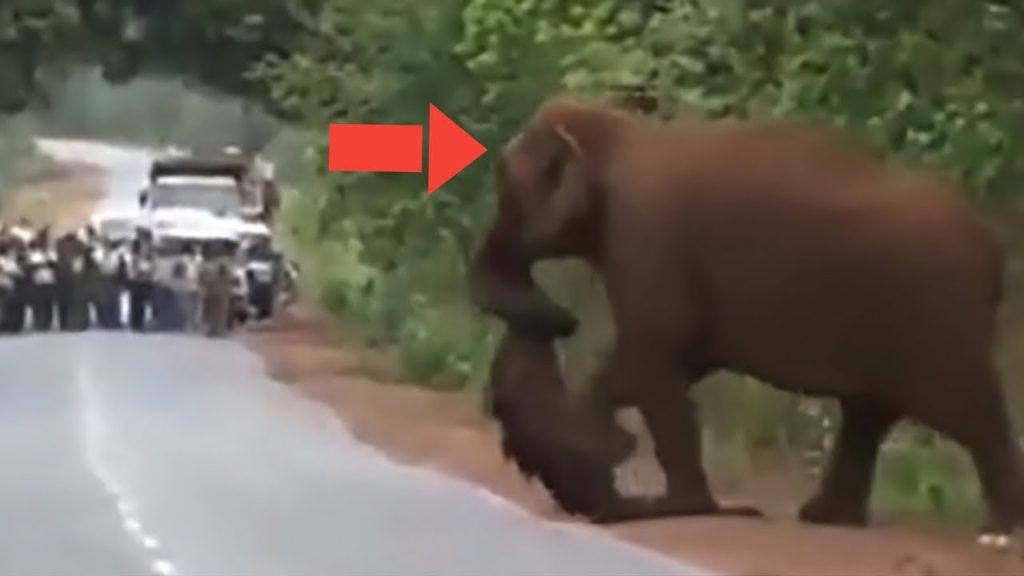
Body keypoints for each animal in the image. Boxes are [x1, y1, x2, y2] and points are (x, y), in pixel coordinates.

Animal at [468, 96, 1024, 532]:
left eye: (508, 189)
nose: (561, 319)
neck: (619, 131)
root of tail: (994, 249)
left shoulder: (645, 237)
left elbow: (656, 352)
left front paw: (680, 503)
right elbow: (669, 361)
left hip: (939, 319)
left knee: (967, 410)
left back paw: (998, 528)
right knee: (868, 413)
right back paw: (825, 517)